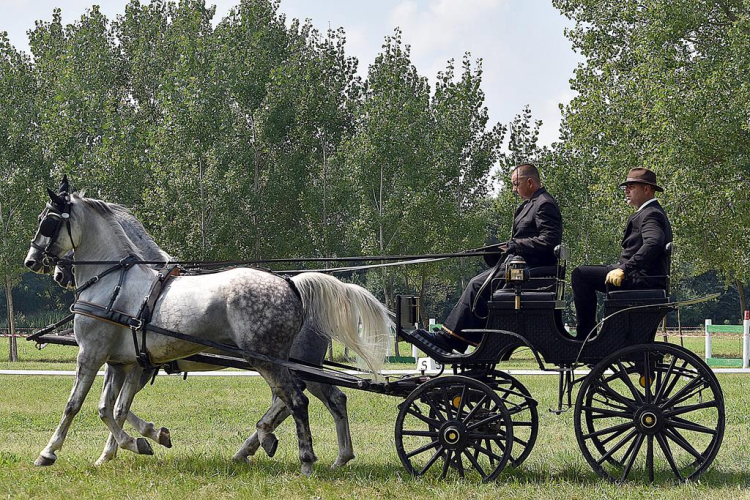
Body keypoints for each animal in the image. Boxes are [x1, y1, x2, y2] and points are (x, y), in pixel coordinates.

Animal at [26, 186, 390, 474]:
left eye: (48, 221)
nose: (35, 262)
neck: (115, 280)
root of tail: (291, 283)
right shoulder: (125, 362)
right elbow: (111, 409)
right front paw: (132, 445)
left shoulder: (93, 355)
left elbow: (77, 405)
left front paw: (49, 452)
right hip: (290, 364)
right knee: (317, 399)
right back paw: (310, 452)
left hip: (270, 360)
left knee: (298, 401)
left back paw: (302, 458)